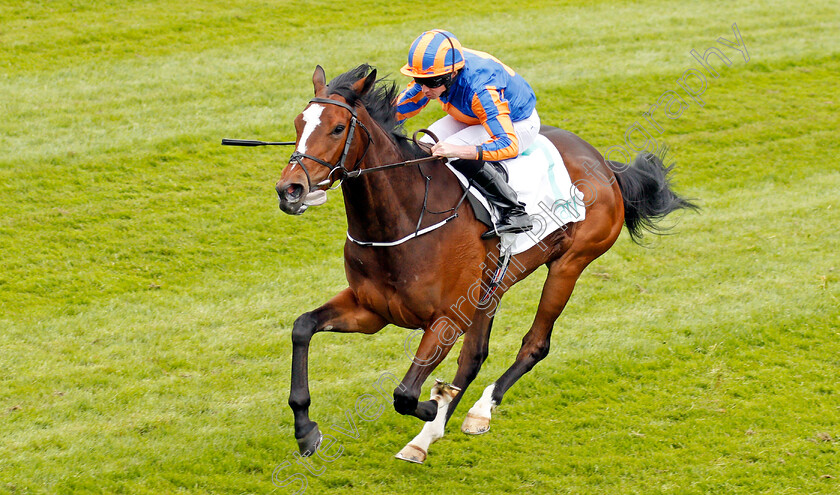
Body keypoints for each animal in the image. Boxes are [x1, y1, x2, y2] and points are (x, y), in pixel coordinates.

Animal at [274, 64, 696, 464]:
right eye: (298, 124)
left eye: (337, 128)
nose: (290, 189)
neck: (405, 218)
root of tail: (605, 163)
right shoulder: (372, 310)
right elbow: (303, 327)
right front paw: (306, 430)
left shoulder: (446, 318)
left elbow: (406, 394)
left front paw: (435, 404)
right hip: (491, 287)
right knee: (474, 356)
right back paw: (425, 439)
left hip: (568, 265)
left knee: (534, 344)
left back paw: (477, 410)